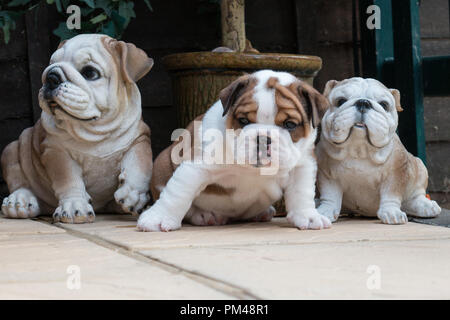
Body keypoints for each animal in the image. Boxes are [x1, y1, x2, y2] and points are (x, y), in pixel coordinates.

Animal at [0, 34, 154, 222]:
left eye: (90, 73)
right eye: (50, 64)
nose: (51, 76)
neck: (95, 130)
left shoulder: (140, 139)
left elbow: (139, 165)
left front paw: (133, 194)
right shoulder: (56, 151)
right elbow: (68, 180)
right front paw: (74, 205)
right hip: (12, 149)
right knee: (18, 180)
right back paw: (19, 201)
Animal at [137, 70, 330, 231]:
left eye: (290, 124)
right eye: (243, 120)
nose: (263, 137)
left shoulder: (303, 165)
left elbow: (302, 193)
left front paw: (308, 217)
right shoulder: (195, 167)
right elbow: (177, 194)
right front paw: (158, 218)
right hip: (162, 162)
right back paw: (204, 215)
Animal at [316, 77, 440, 225]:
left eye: (384, 104)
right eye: (341, 101)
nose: (363, 102)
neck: (359, 150)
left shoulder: (396, 173)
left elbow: (391, 195)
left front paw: (391, 212)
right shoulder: (328, 174)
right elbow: (330, 196)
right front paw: (325, 210)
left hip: (419, 167)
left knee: (415, 196)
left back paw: (425, 206)